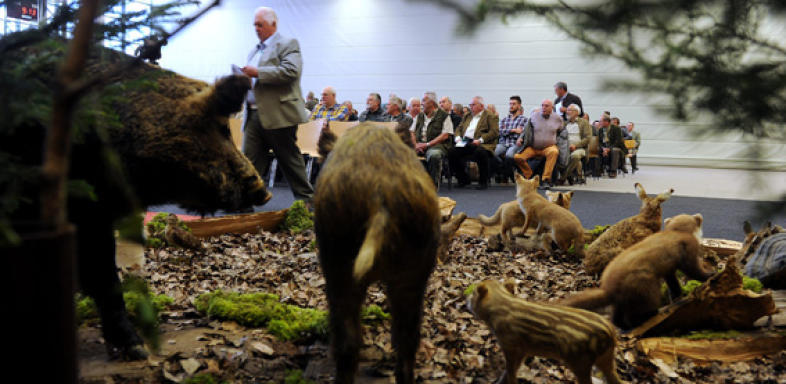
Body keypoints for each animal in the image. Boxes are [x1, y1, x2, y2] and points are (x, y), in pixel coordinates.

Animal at [466, 280, 624, 384]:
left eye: (474, 293)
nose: (465, 301)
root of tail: (610, 332)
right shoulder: (523, 350)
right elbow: (513, 368)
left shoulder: (510, 346)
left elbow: (511, 369)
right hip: (606, 357)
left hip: (581, 363)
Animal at [560, 214, 712, 328]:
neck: (676, 232)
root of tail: (610, 288)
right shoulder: (689, 254)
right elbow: (695, 272)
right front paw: (711, 274)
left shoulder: (669, 270)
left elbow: (673, 283)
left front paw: (677, 294)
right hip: (648, 290)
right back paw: (651, 315)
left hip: (621, 303)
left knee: (616, 318)